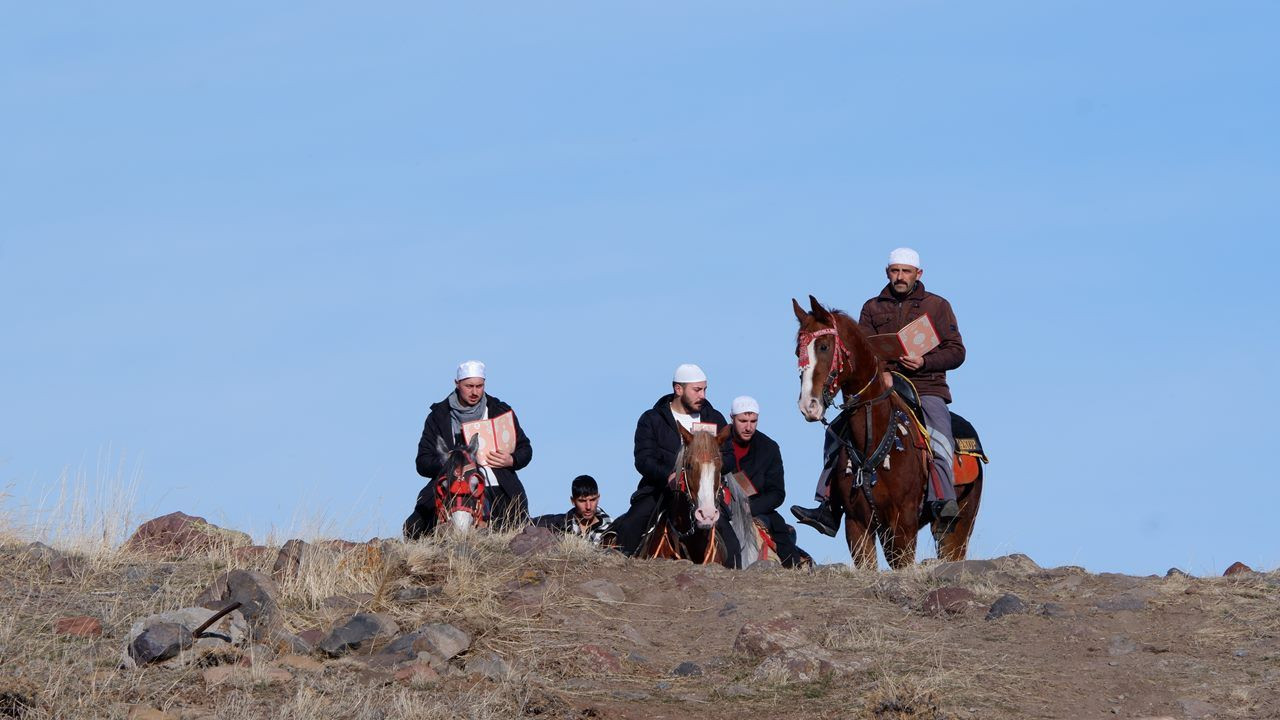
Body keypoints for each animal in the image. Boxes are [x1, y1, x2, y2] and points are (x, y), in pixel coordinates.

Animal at [788, 294, 977, 563]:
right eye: (798, 351)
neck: (873, 435)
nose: (808, 405)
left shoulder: (904, 524)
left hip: (959, 525)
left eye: (824, 346)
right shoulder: (857, 525)